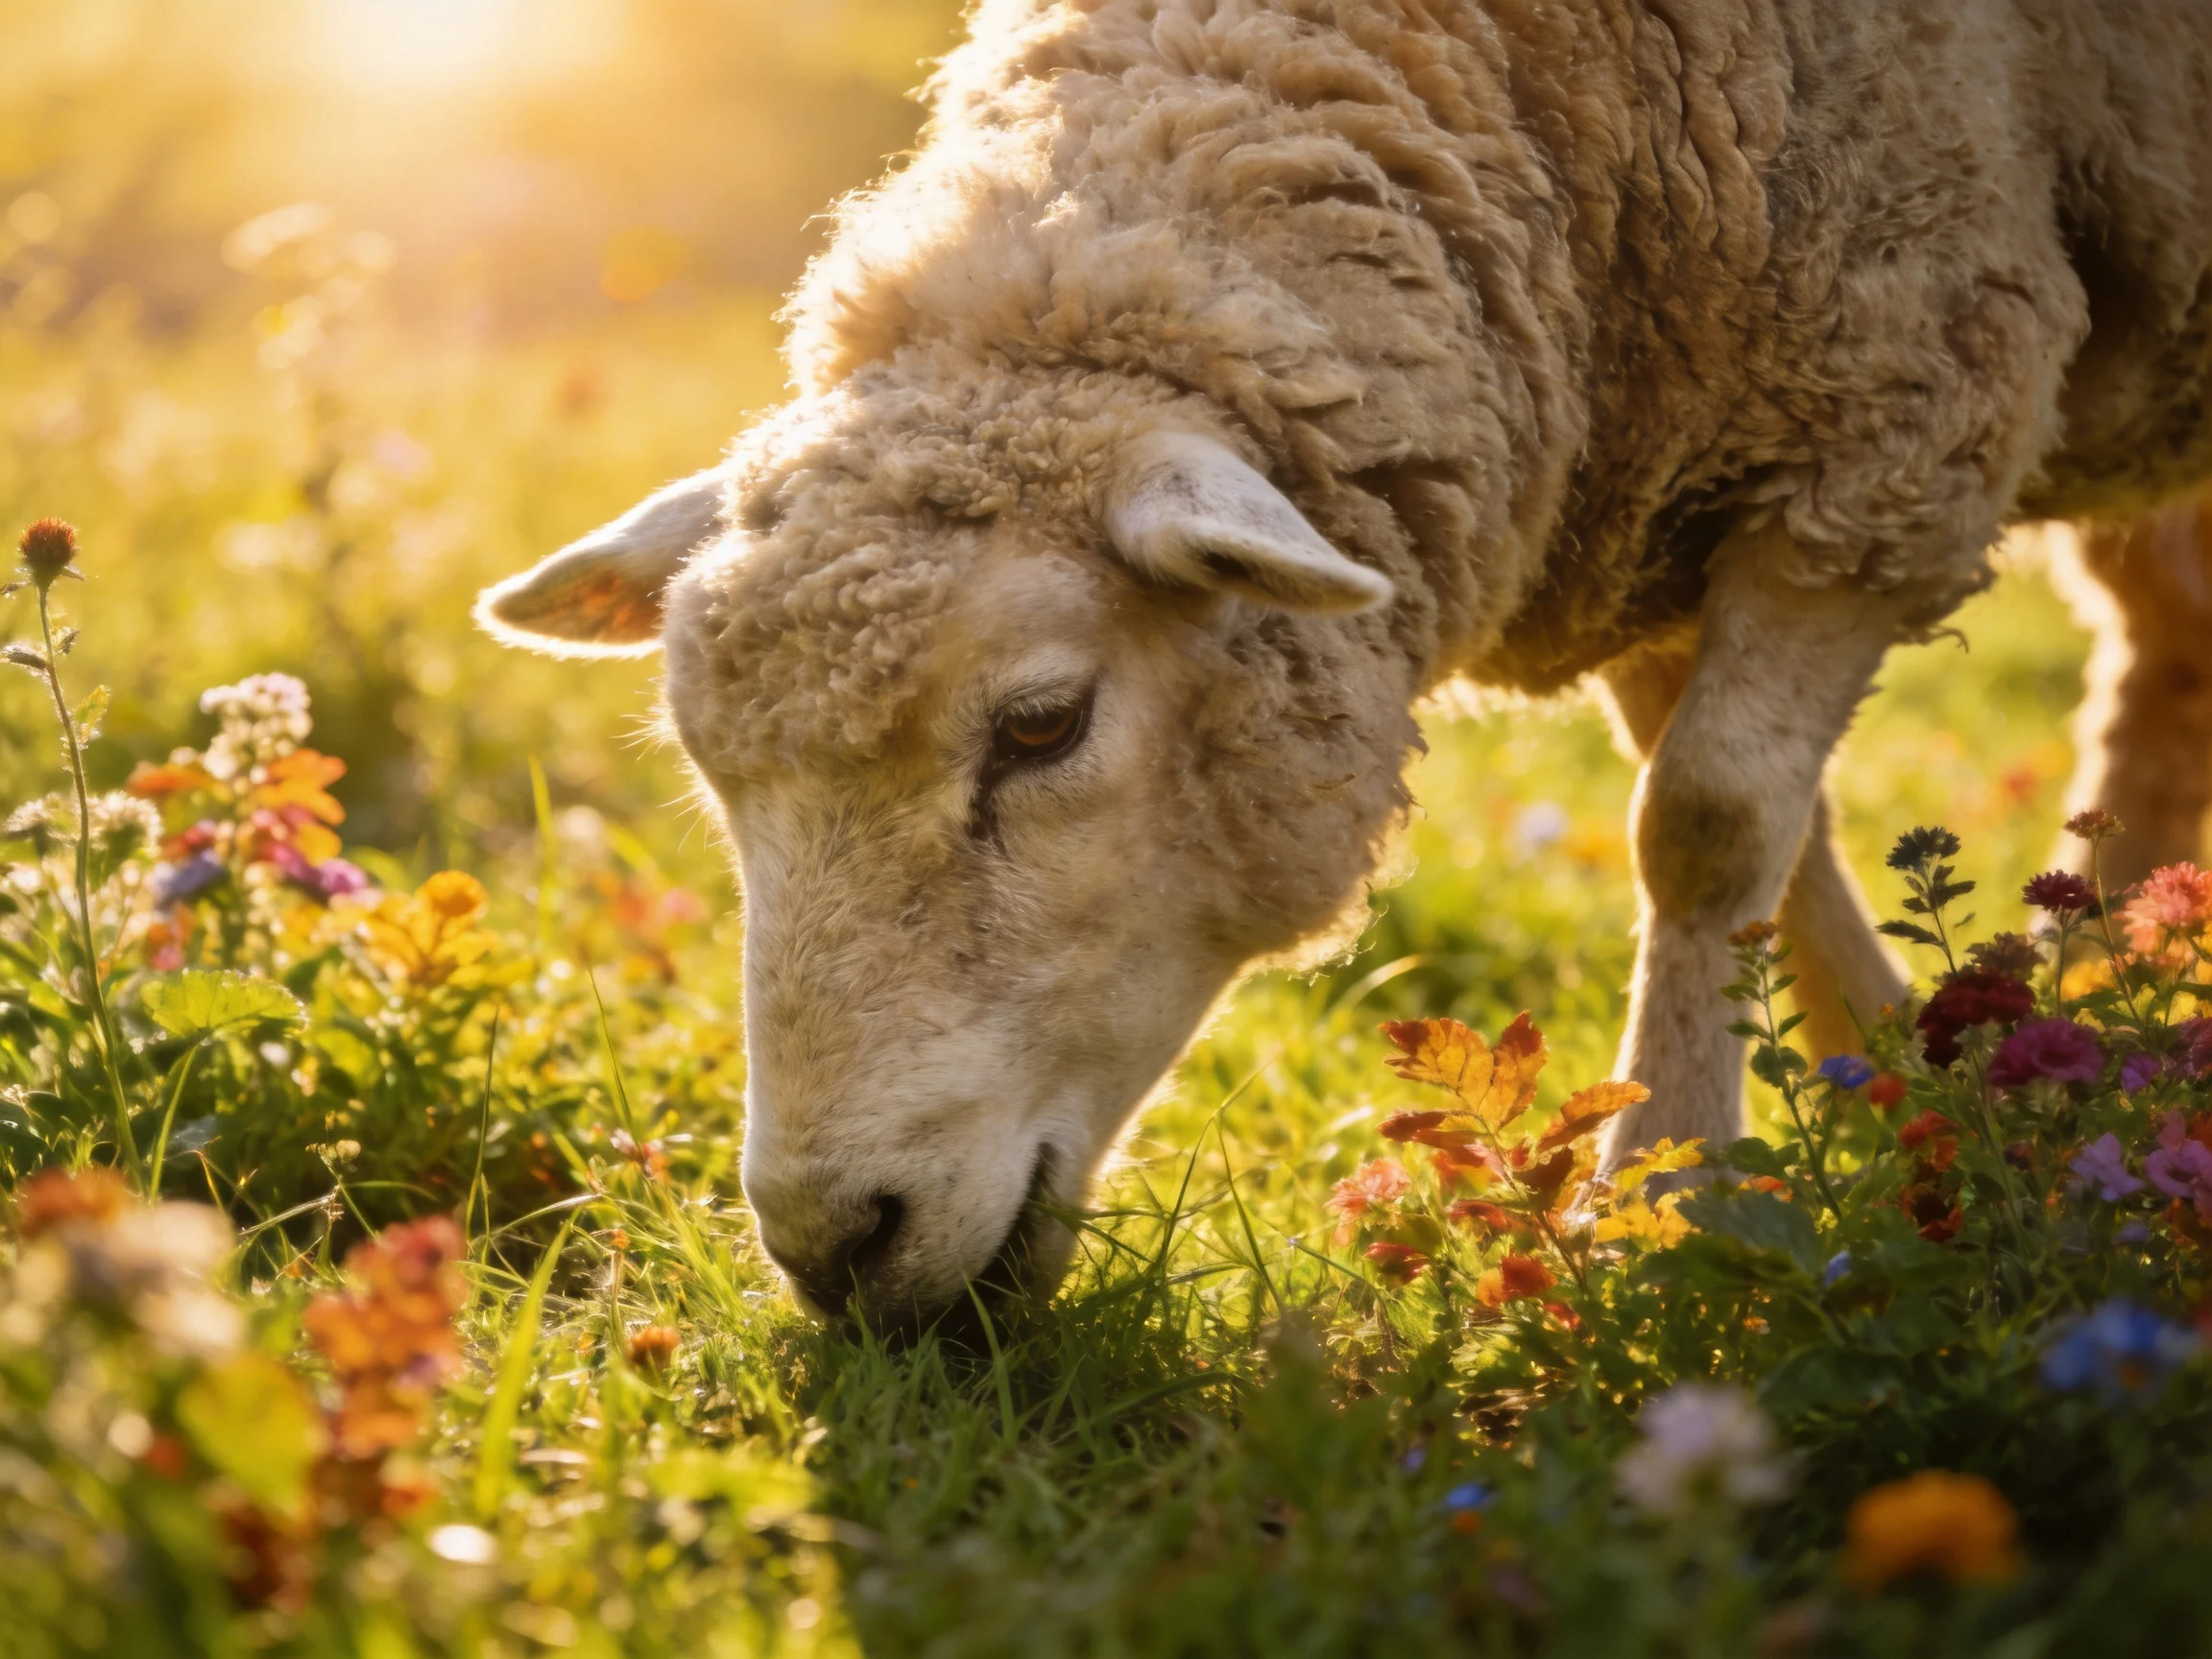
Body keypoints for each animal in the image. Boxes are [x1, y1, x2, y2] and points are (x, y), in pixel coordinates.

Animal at [477, 0, 2212, 1324]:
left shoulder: (1896, 416)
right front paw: (1919, 1089)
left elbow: (1709, 817)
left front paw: (1664, 1198)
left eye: (1041, 725)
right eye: (710, 776)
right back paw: (2081, 1024)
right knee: (2168, 658)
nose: (834, 1245)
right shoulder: (1662, 483)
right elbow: (1775, 838)